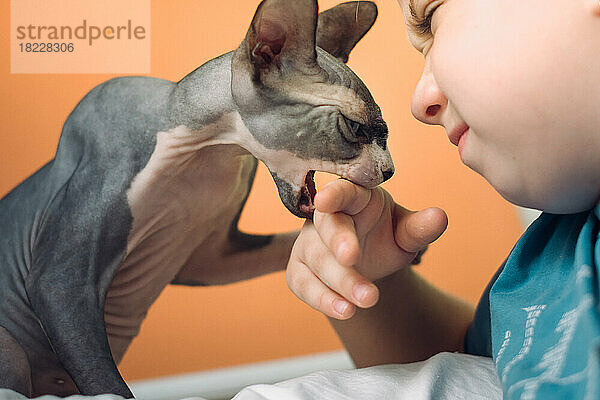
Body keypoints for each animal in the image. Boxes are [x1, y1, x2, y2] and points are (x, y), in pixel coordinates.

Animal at [0, 0, 396, 396]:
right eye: (355, 128)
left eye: (385, 134)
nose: (390, 170)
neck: (209, 151)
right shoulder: (58, 283)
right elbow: (107, 384)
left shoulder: (211, 258)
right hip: (14, 349)